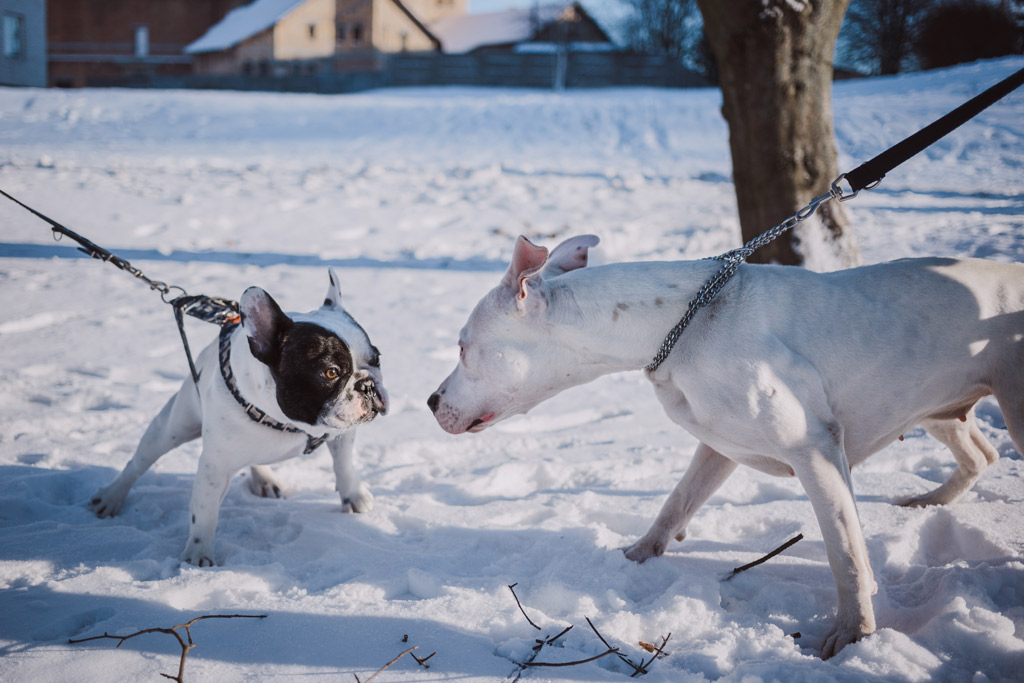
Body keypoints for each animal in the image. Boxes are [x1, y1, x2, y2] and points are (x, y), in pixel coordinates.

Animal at [91, 270, 387, 569]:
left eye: (377, 358)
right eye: (331, 372)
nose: (368, 385)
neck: (287, 422)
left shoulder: (343, 432)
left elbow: (344, 464)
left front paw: (355, 496)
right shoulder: (215, 466)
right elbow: (205, 510)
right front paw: (198, 554)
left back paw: (264, 479)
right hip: (173, 426)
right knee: (139, 462)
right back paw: (111, 497)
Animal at [425, 235, 1024, 655]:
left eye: (463, 346)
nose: (430, 401)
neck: (674, 325)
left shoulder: (815, 450)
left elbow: (845, 551)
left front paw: (852, 634)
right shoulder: (716, 446)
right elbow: (678, 500)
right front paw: (637, 556)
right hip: (937, 404)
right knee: (981, 454)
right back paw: (927, 503)